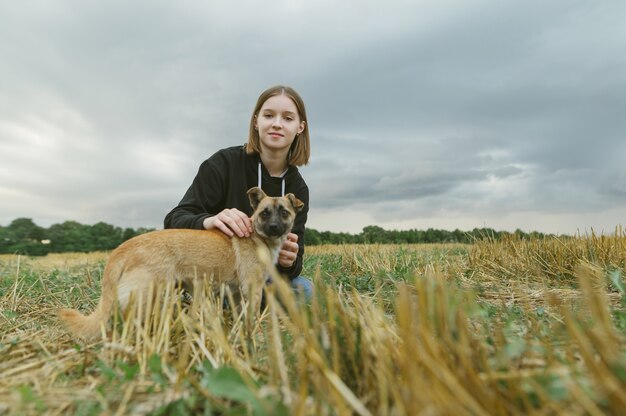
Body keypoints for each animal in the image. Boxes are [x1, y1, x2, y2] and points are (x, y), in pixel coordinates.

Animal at [59, 187, 304, 340]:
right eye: (264, 213)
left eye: (284, 212)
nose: (274, 227)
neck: (258, 237)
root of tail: (122, 249)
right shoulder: (252, 288)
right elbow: (252, 317)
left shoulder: (235, 292)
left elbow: (241, 317)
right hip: (148, 296)